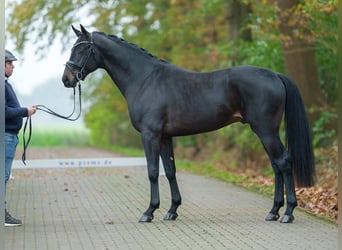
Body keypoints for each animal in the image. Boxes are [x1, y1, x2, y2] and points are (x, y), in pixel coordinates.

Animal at [62, 25, 316, 224]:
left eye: (82, 48)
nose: (66, 79)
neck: (145, 79)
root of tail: (275, 75)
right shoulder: (165, 137)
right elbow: (170, 171)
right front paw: (172, 211)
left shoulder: (150, 135)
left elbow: (152, 172)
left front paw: (149, 212)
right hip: (265, 132)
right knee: (276, 165)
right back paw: (274, 211)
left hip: (266, 130)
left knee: (283, 162)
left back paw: (288, 213)